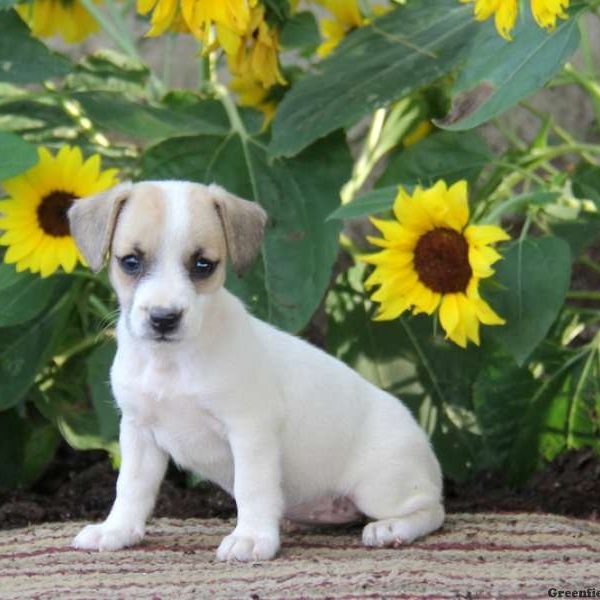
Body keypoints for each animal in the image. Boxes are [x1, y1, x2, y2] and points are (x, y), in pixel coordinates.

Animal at [69, 179, 446, 564]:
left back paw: (392, 529)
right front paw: (116, 530)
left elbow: (251, 486)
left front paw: (250, 537)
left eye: (203, 265)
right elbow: (130, 487)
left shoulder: (250, 430)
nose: (164, 318)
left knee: (432, 510)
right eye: (130, 262)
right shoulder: (139, 433)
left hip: (381, 487)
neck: (171, 362)